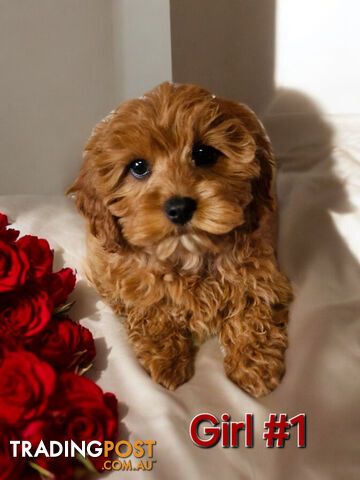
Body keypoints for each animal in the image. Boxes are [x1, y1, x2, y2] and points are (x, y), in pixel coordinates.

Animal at [68, 83, 292, 398]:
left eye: (204, 153)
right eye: (138, 167)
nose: (179, 208)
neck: (189, 254)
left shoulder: (263, 272)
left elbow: (254, 310)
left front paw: (254, 367)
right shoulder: (114, 272)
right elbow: (150, 304)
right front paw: (167, 360)